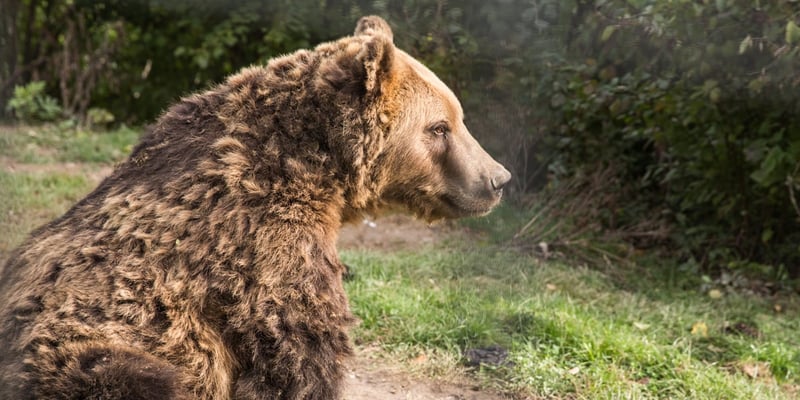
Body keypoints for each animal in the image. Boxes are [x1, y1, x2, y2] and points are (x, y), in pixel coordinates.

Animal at [0, 15, 512, 400]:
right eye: (439, 127)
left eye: (458, 118)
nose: (498, 178)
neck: (316, 169)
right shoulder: (259, 239)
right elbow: (298, 348)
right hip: (82, 349)